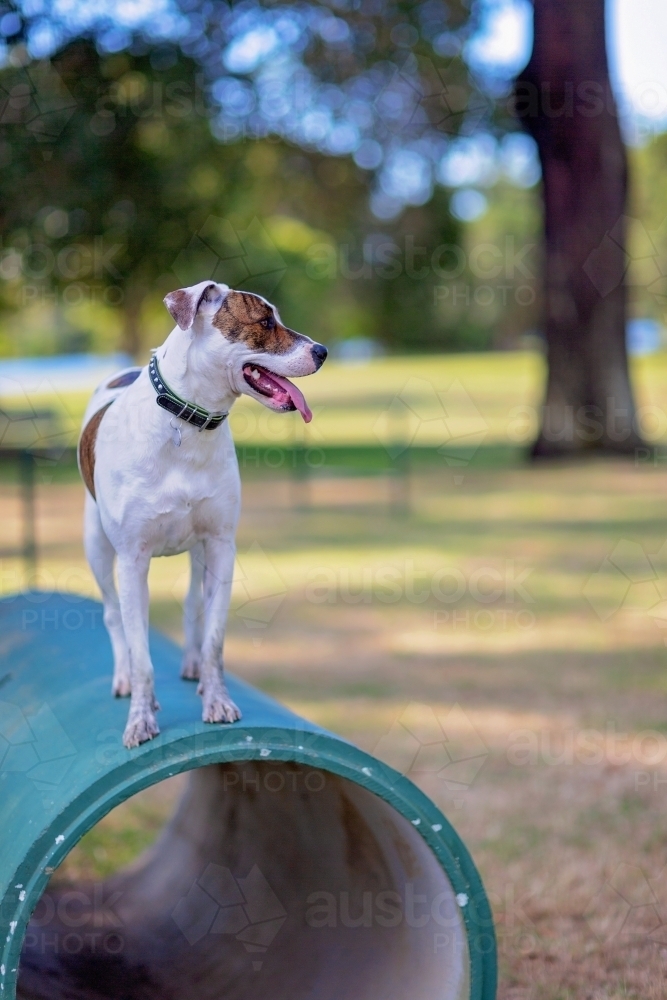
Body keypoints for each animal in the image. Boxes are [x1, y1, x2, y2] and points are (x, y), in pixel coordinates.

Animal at [78, 278, 328, 748]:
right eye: (265, 322)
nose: (322, 351)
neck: (187, 422)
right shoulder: (132, 560)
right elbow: (142, 654)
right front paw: (140, 719)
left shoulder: (220, 546)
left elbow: (214, 640)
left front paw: (217, 700)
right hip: (97, 548)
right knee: (112, 616)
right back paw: (123, 678)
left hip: (196, 552)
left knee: (194, 602)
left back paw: (191, 664)